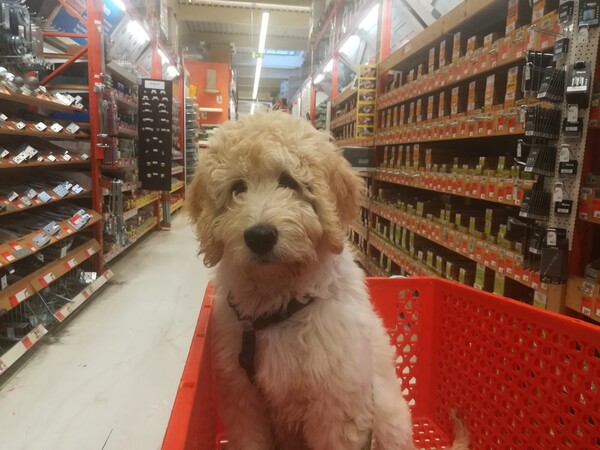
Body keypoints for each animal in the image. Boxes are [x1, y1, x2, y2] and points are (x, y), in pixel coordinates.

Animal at [188, 110, 412, 448]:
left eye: (289, 181)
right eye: (237, 188)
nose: (260, 236)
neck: (279, 305)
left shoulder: (336, 405)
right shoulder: (242, 396)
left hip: (388, 418)